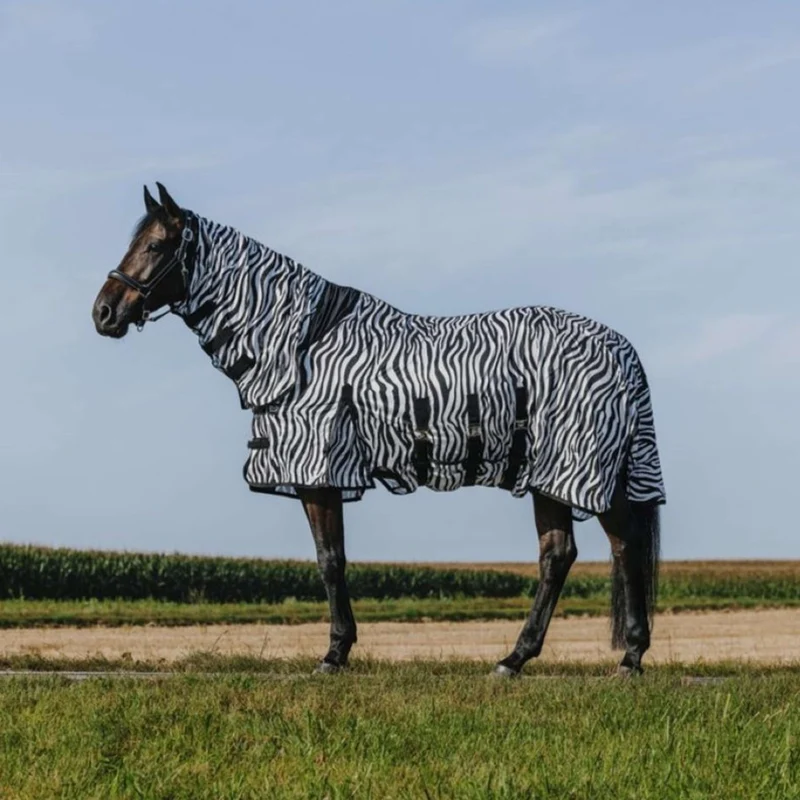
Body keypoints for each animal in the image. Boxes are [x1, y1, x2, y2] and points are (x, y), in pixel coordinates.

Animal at [92, 182, 666, 678]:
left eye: (155, 244)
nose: (104, 312)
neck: (302, 344)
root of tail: (622, 348)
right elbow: (334, 559)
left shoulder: (320, 473)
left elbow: (330, 561)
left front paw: (334, 654)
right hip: (550, 475)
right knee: (562, 554)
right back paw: (520, 658)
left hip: (576, 468)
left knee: (618, 548)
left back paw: (623, 658)